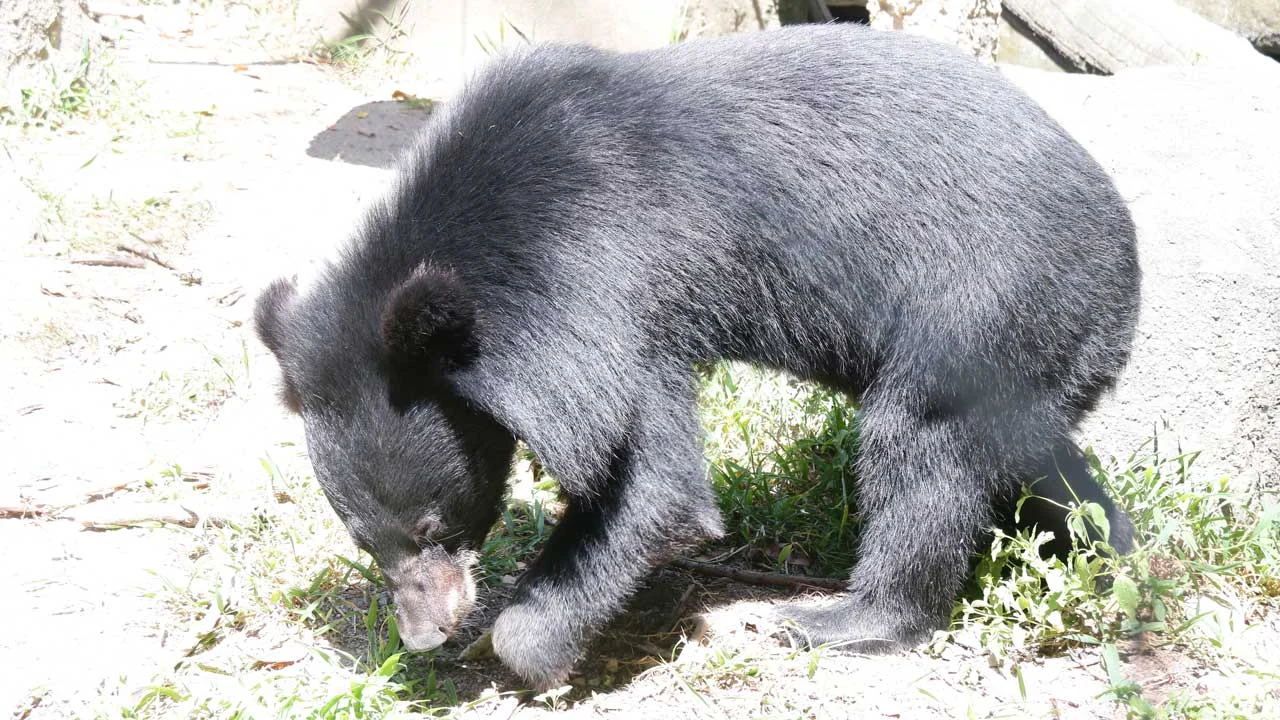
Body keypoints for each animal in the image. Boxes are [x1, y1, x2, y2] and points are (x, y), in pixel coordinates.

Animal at [255, 24, 1141, 689]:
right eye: (364, 539)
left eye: (433, 525)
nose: (423, 634)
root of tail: (1122, 254)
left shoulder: (611, 294)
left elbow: (652, 487)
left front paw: (526, 650)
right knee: (1033, 457)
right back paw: (1109, 552)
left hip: (984, 304)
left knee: (923, 450)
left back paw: (839, 619)